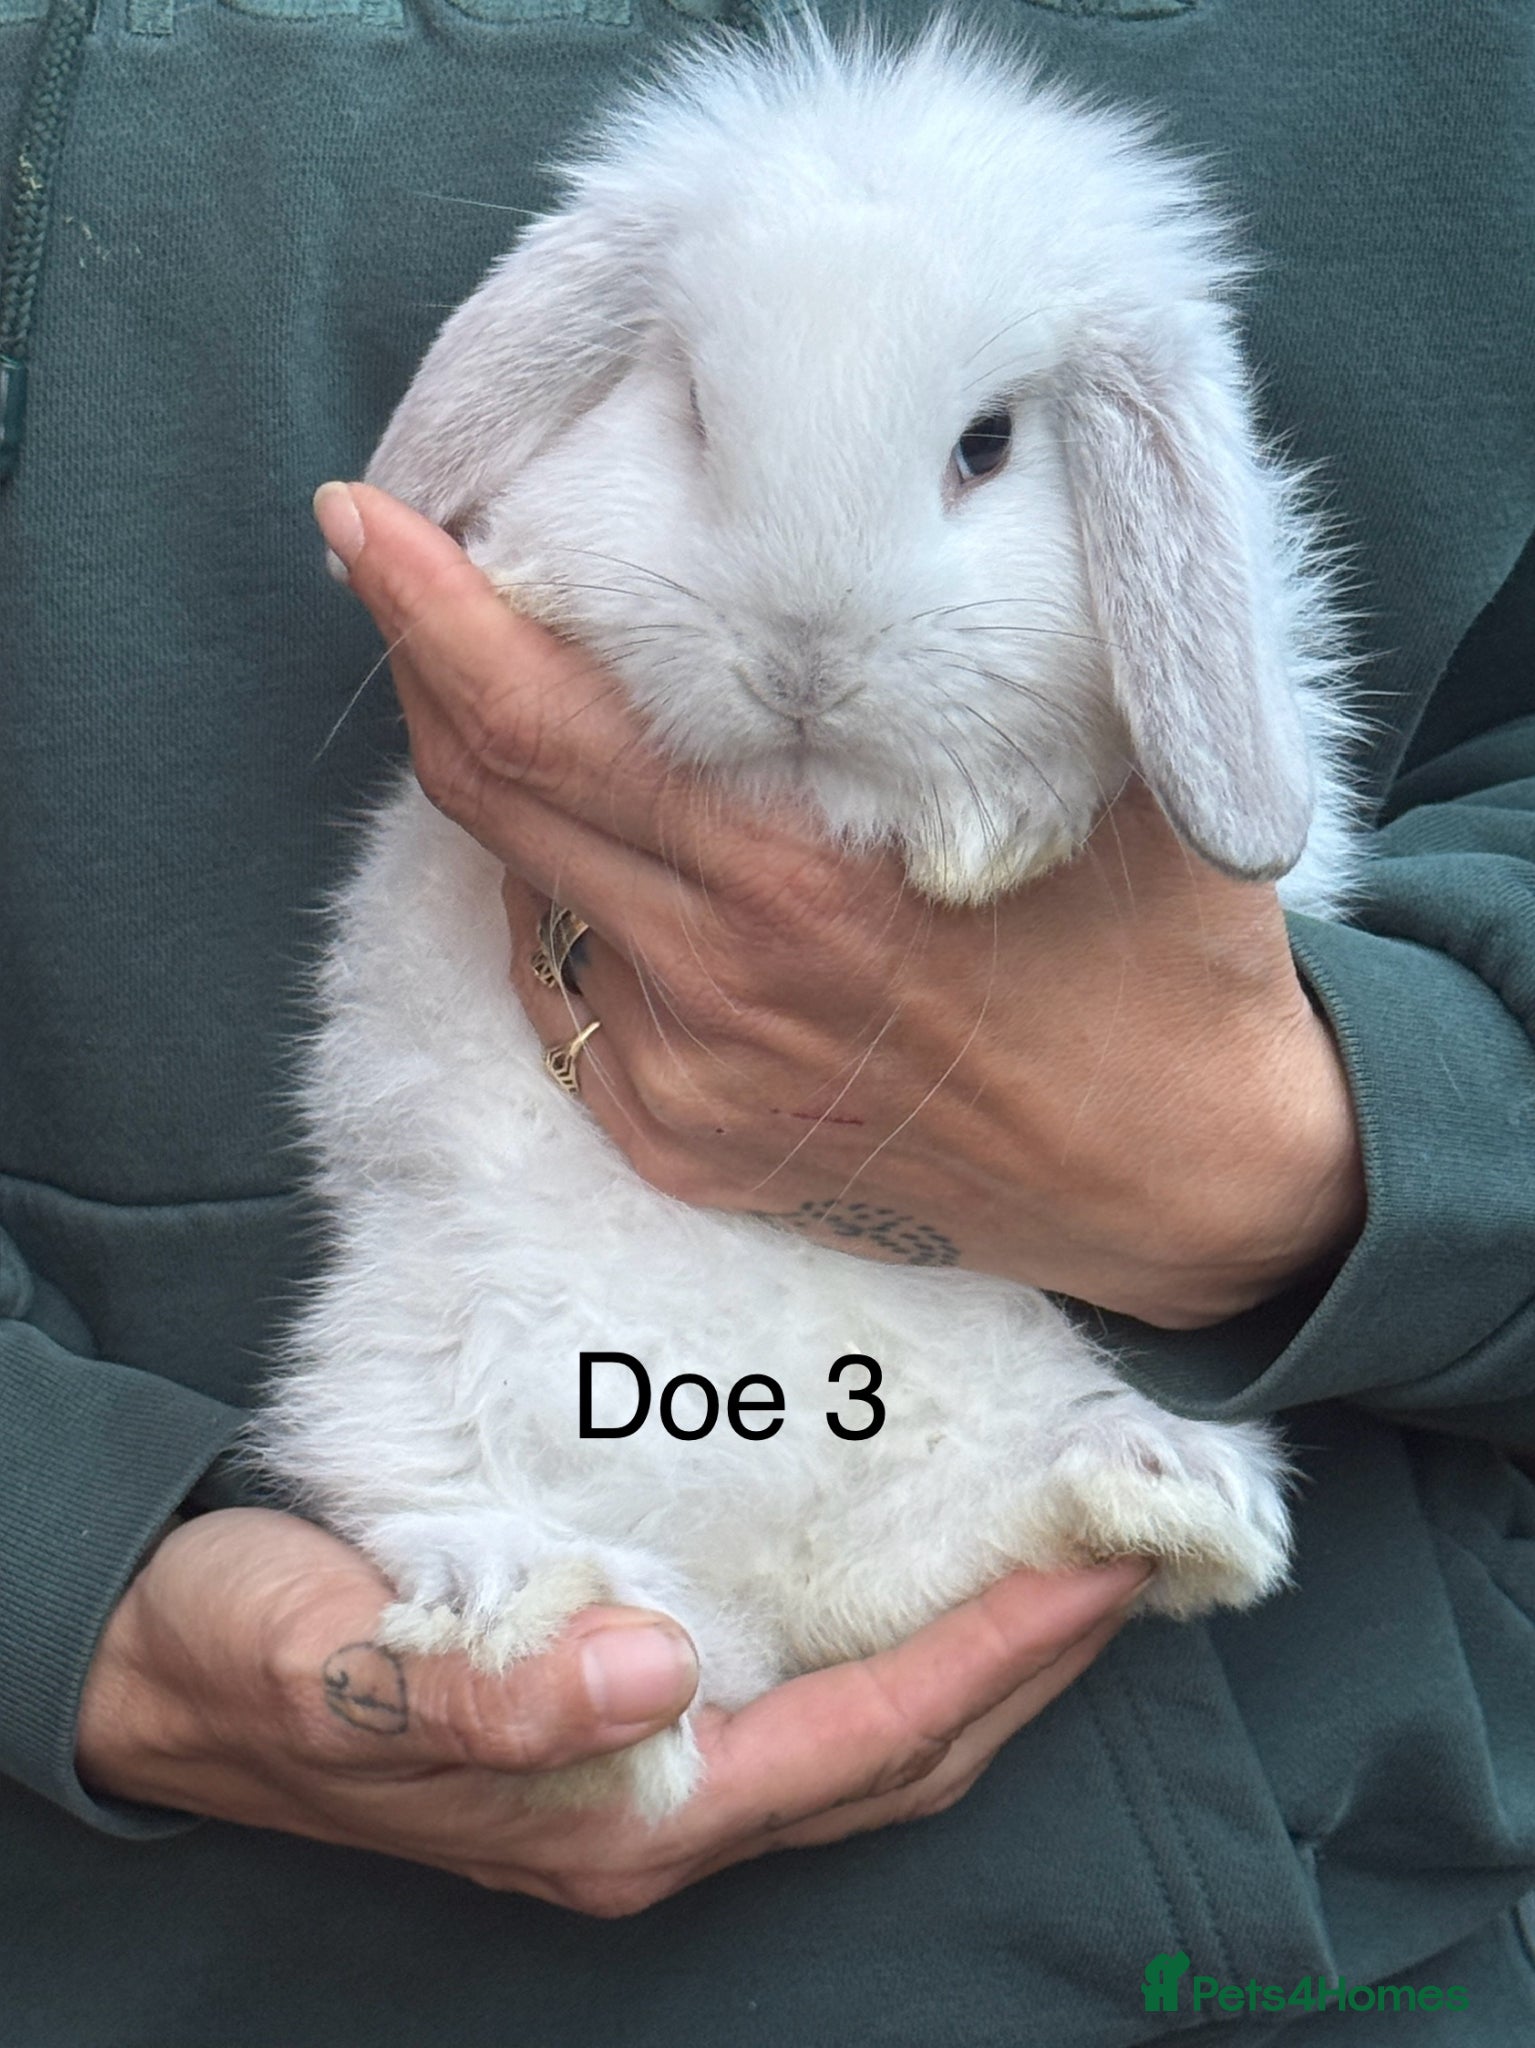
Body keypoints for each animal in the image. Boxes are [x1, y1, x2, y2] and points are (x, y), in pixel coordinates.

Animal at [259, 17, 1363, 1822]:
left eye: (986, 444)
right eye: (693, 415)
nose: (800, 663)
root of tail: (763, 1583)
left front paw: (990, 828)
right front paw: (536, 593)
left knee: (949, 1545)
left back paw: (1155, 1484)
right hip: (406, 1359)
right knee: (468, 1530)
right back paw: (535, 1616)